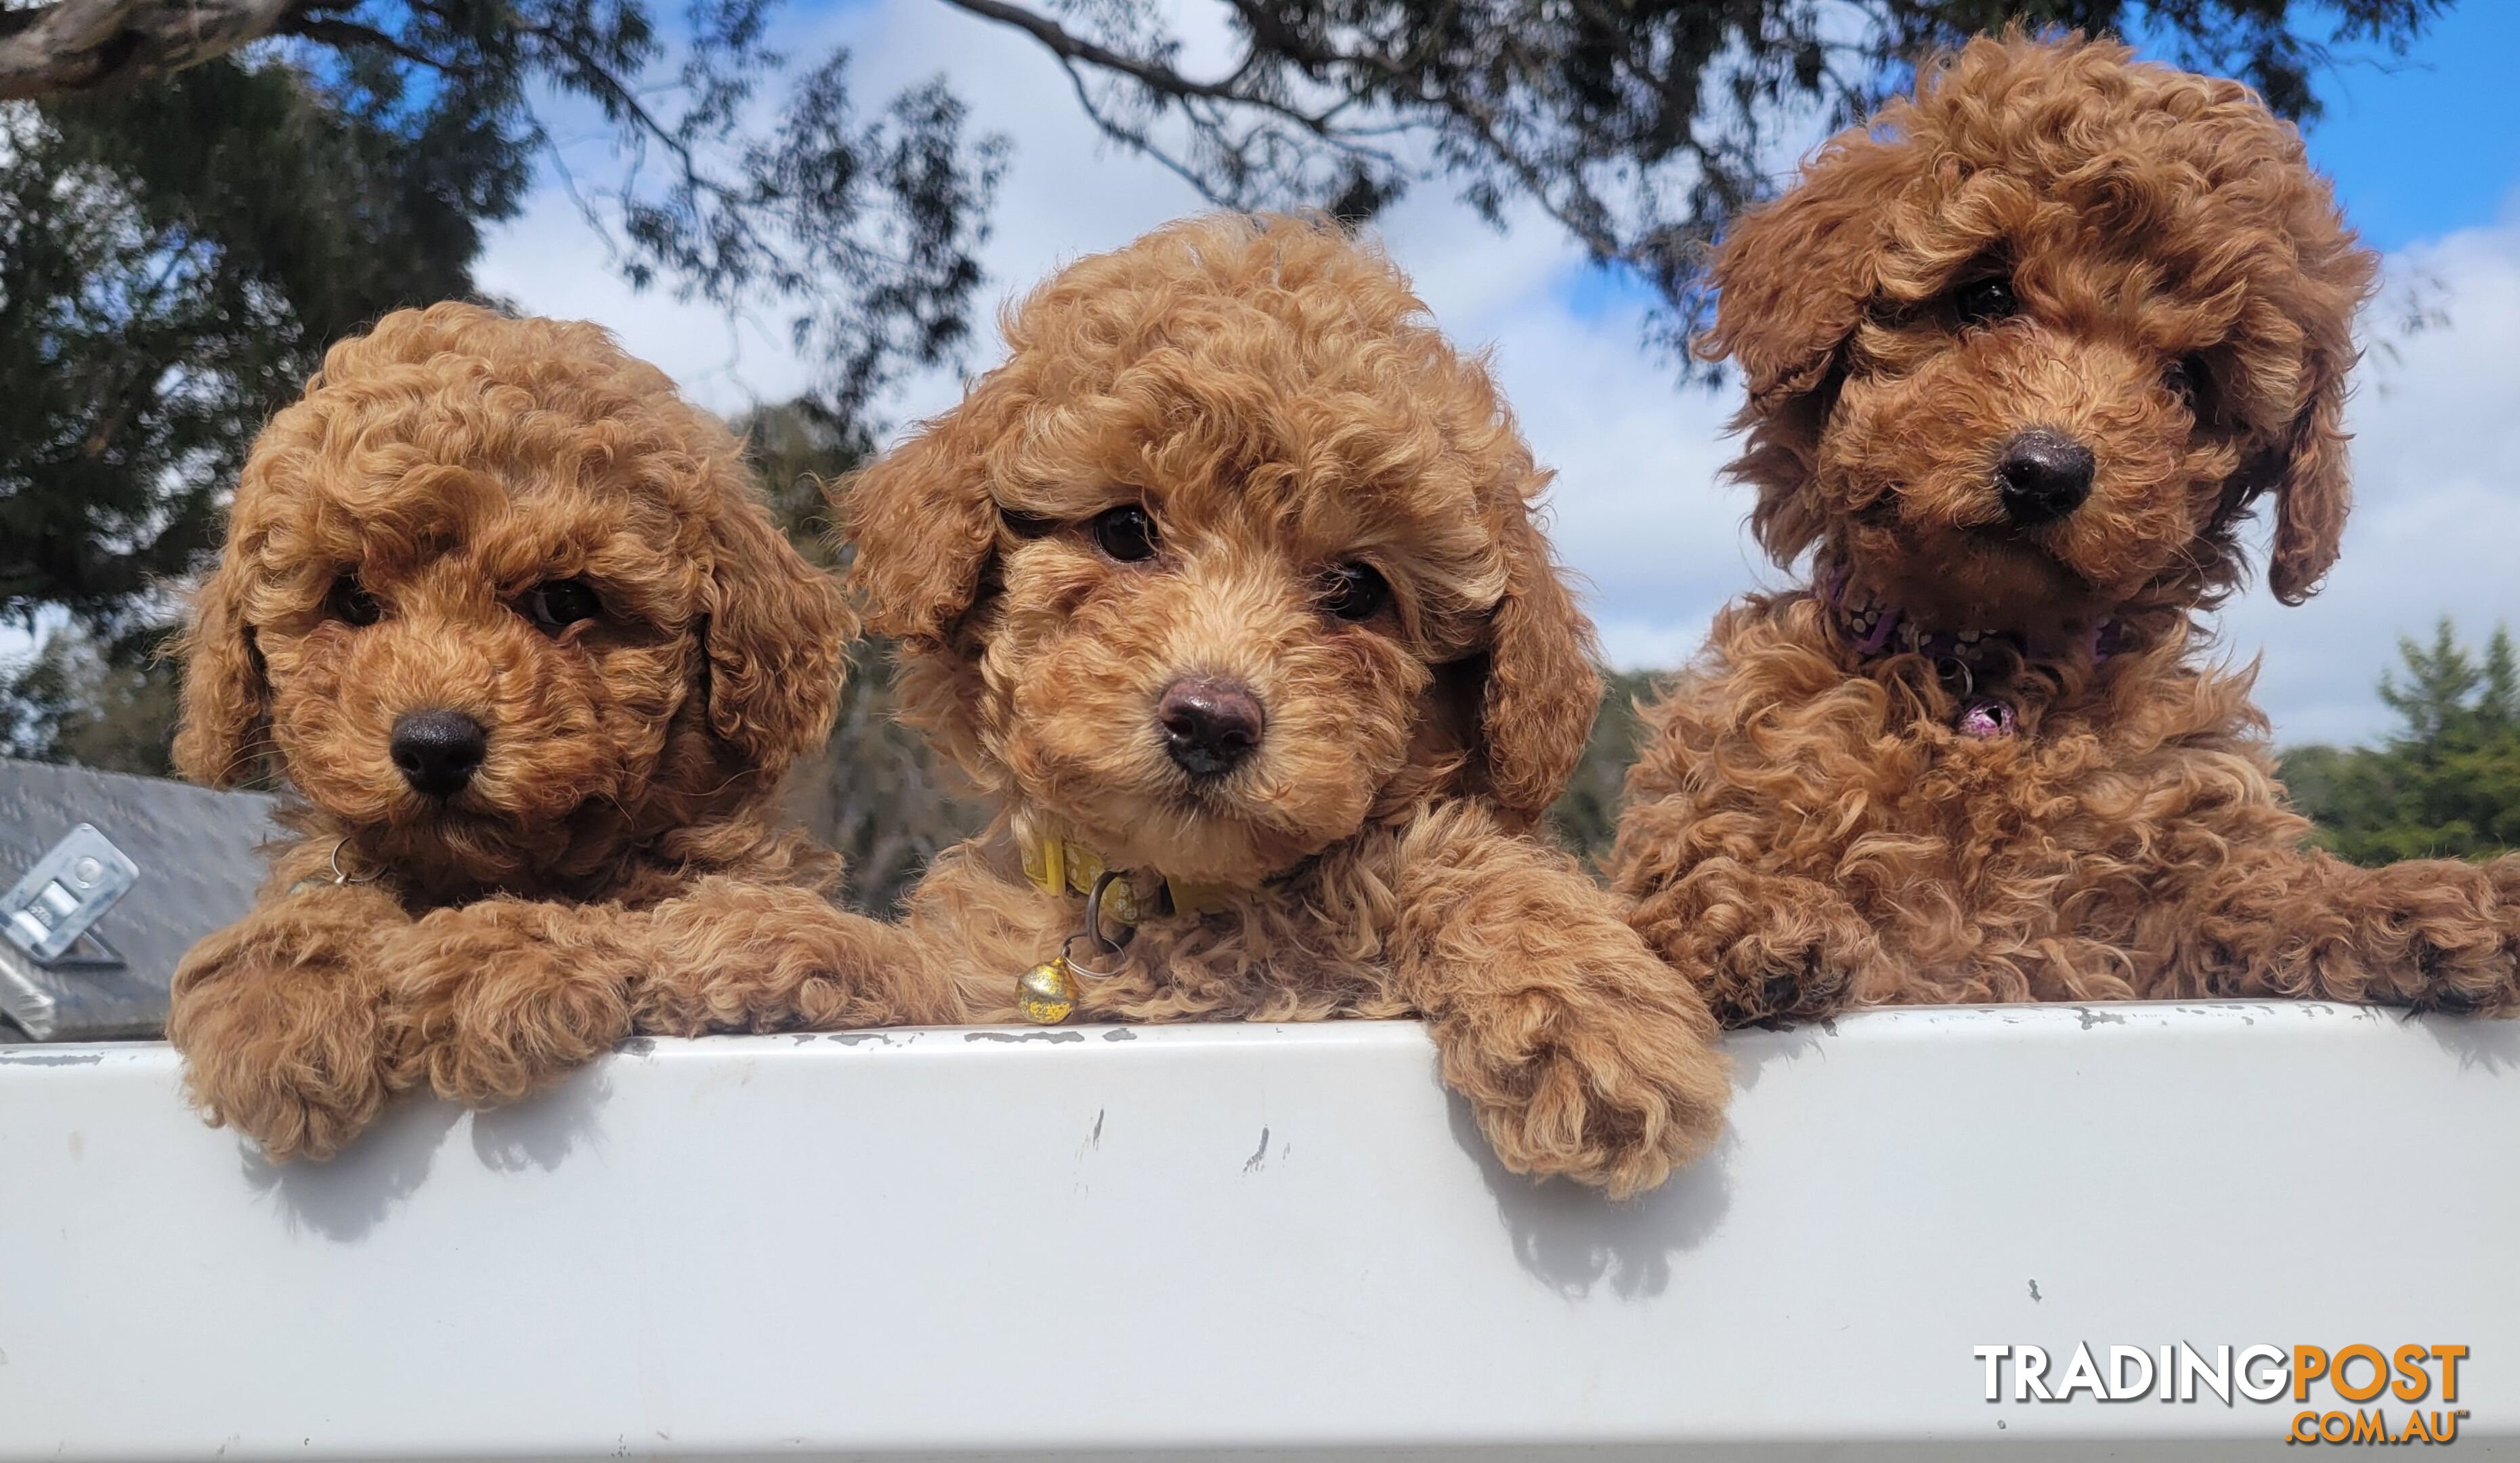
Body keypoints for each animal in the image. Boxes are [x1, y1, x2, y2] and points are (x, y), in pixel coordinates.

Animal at [167, 302, 947, 1160]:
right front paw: (283, 1007)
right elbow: (320, 904)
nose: (435, 747)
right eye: (352, 598)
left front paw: (497, 960)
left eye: (566, 601)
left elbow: (640, 916)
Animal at [847, 217, 1734, 1200]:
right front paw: (787, 946)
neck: (1185, 901)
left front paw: (1589, 1020)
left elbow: (1446, 854)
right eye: (1124, 530)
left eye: (1356, 588)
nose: (1210, 721)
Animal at [1613, 28, 2520, 1024]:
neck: (1983, 677)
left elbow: (2259, 893)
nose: (2046, 474)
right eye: (1985, 297)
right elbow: (1670, 893)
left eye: (2188, 382)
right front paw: (1748, 912)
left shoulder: (2158, 905)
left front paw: (2431, 897)